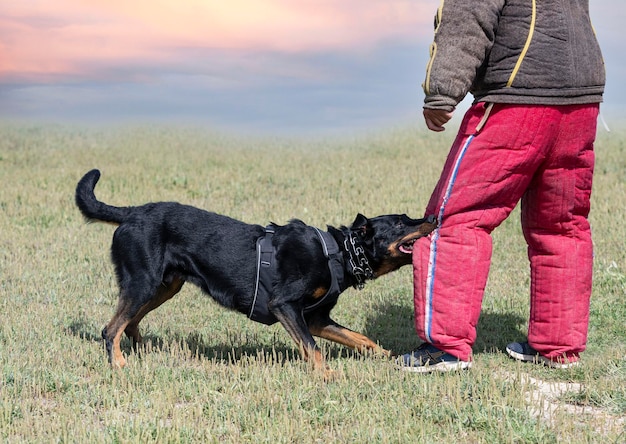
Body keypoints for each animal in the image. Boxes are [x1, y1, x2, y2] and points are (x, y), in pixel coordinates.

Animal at [75, 168, 436, 376]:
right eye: (401, 223)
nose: (433, 218)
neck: (338, 252)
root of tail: (131, 213)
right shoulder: (286, 306)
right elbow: (313, 348)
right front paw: (327, 376)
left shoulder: (315, 318)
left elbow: (360, 338)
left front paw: (387, 356)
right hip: (144, 283)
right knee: (111, 328)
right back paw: (119, 364)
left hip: (165, 286)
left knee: (130, 322)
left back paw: (145, 350)